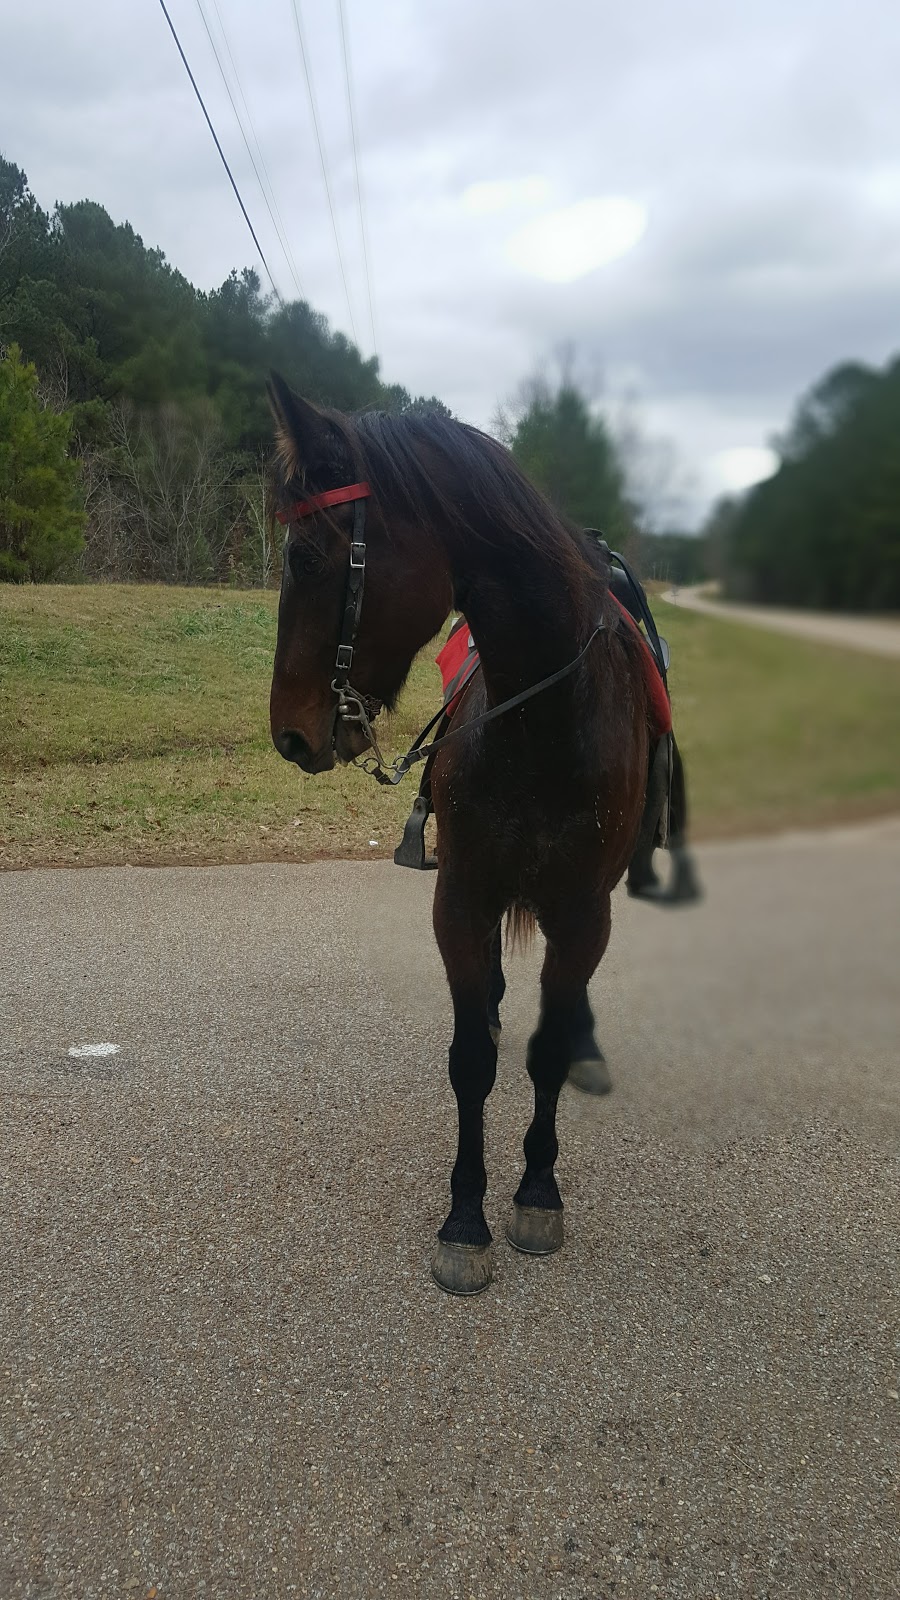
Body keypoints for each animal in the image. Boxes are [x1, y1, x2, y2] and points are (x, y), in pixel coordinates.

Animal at [262, 377, 656, 1299]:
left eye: (306, 559)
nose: (288, 733)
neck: (546, 717)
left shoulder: (583, 908)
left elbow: (547, 1054)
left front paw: (538, 1192)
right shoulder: (461, 897)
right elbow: (471, 1058)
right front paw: (465, 1220)